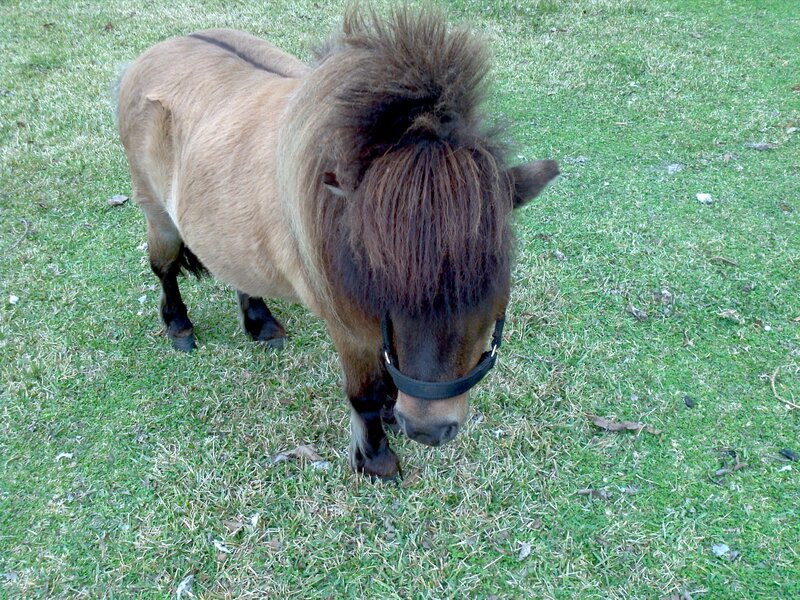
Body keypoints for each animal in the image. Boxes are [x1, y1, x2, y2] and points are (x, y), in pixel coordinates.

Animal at [116, 7, 558, 480]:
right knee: (164, 268)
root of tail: (151, 55)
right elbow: (365, 394)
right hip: (158, 215)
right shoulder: (349, 329)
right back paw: (179, 327)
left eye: (494, 277)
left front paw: (391, 418)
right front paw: (377, 459)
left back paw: (261, 323)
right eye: (379, 273)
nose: (428, 429)